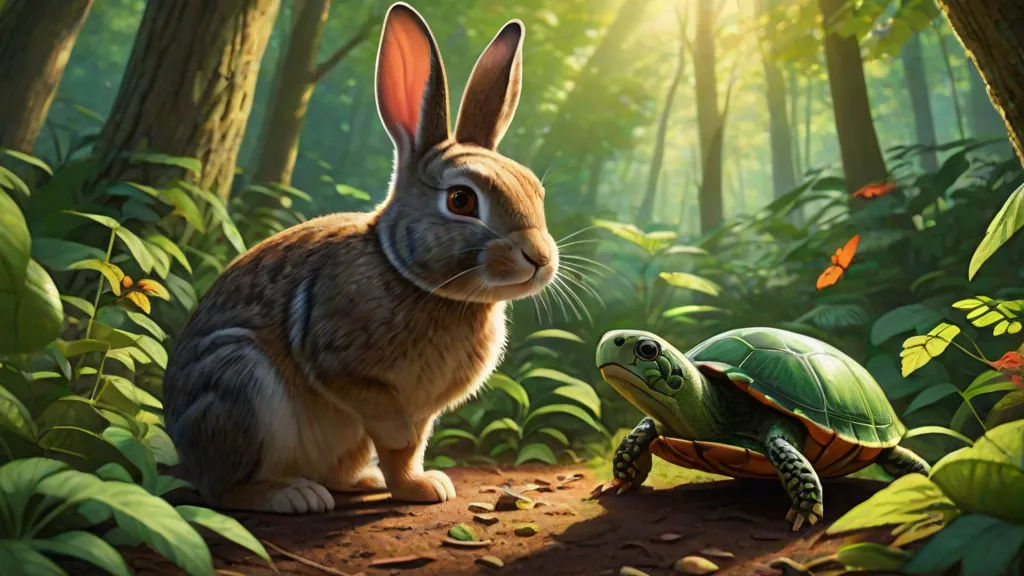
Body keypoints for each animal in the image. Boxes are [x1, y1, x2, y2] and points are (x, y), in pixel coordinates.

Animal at [163, 2, 557, 514]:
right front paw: (422, 484)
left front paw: (423, 488)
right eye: (462, 200)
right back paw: (293, 495)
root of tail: (183, 448)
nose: (540, 258)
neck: (408, 275)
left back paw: (361, 481)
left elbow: (408, 451)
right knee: (224, 488)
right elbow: (393, 430)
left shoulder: (423, 407)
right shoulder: (343, 365)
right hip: (237, 384)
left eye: (536, 191)